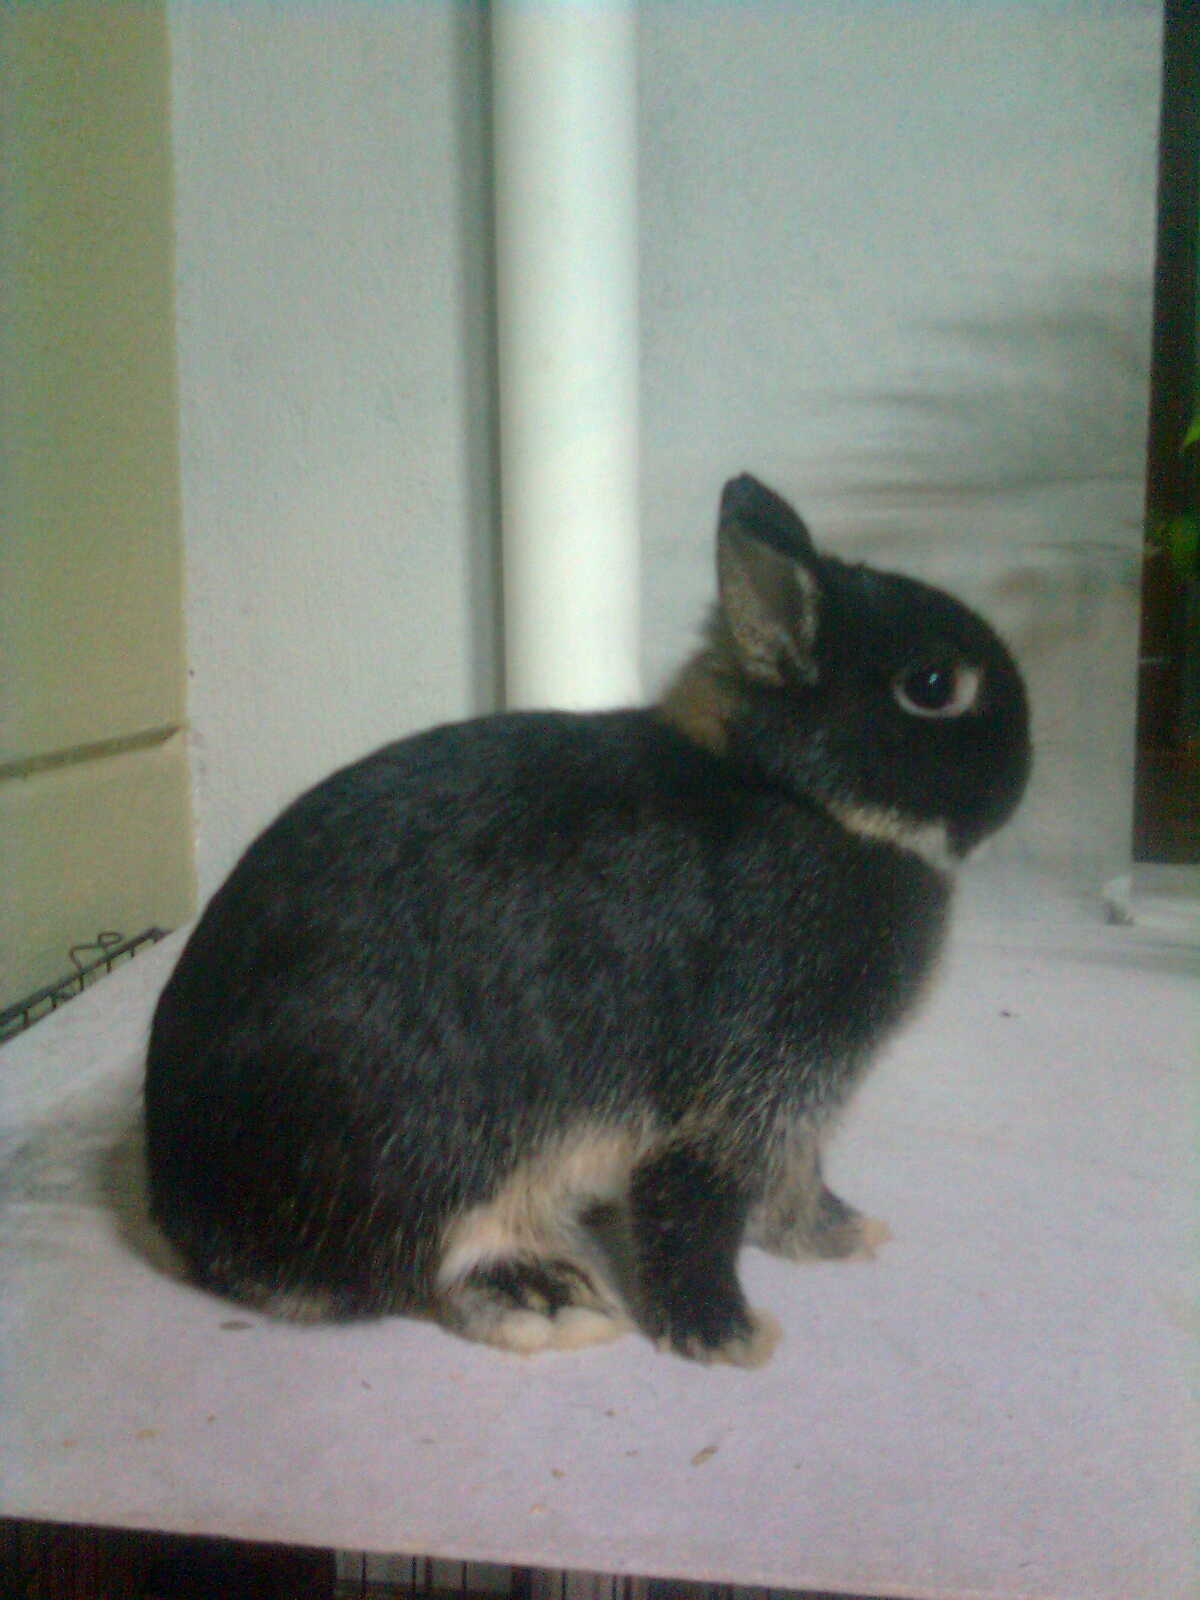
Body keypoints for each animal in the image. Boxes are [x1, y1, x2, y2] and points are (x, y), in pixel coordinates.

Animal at [144, 473, 1030, 1367]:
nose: (1023, 768)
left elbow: (793, 1179)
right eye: (932, 686)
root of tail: (184, 1213)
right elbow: (695, 1201)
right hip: (419, 1148)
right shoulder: (742, 1080)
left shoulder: (794, 1107)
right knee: (425, 1263)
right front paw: (728, 1338)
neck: (806, 801)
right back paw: (546, 1298)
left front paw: (844, 1235)